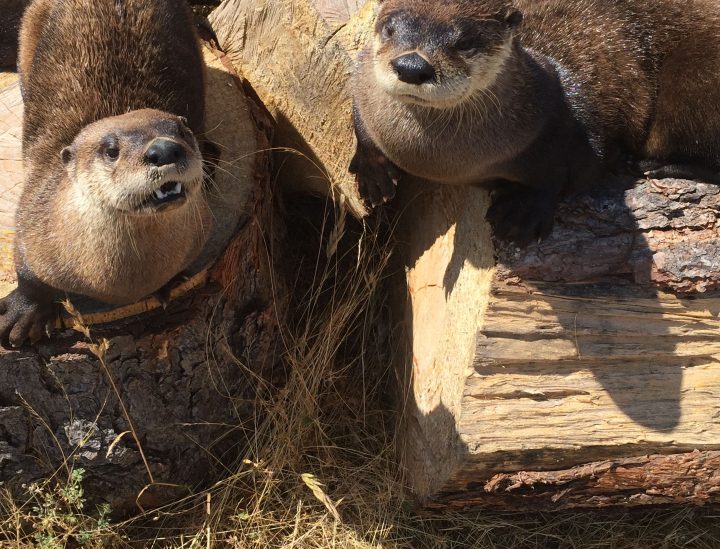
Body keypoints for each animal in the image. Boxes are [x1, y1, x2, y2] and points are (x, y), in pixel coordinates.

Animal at [0, 0, 214, 346]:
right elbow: (29, 273)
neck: (121, 284)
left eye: (183, 132)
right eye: (111, 149)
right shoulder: (32, 218)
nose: (166, 149)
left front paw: (169, 284)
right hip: (29, 25)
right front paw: (23, 315)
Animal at [352, 0, 720, 244]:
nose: (412, 66)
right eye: (390, 28)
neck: (437, 161)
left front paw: (523, 212)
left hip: (695, 85)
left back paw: (657, 166)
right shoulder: (362, 79)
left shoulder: (574, 128)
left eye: (464, 42)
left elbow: (576, 168)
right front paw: (373, 172)